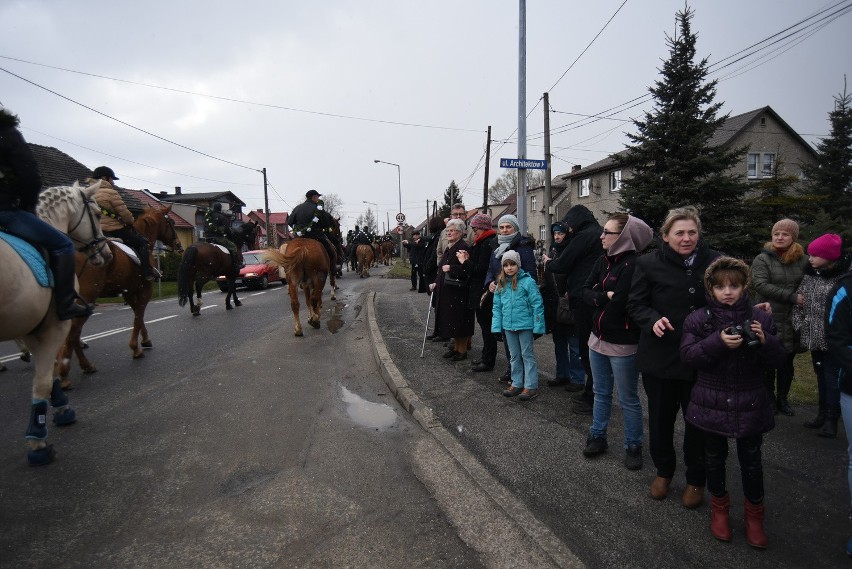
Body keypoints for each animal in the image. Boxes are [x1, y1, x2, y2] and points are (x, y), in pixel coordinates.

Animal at [0, 183, 112, 466]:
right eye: (97, 213)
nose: (105, 253)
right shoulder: (55, 325)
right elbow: (43, 377)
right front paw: (38, 440)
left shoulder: (33, 326)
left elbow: (46, 372)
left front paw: (60, 405)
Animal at [56, 204, 185, 386]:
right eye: (171, 223)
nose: (178, 245)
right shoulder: (145, 289)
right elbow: (139, 315)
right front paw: (135, 348)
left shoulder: (129, 292)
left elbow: (138, 315)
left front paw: (144, 340)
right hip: (86, 297)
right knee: (73, 333)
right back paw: (67, 371)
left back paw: (79, 365)